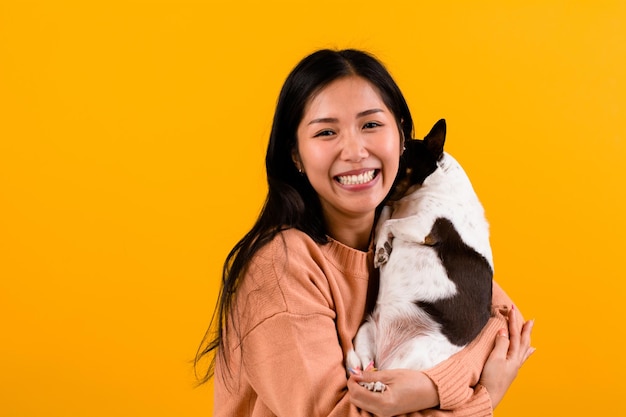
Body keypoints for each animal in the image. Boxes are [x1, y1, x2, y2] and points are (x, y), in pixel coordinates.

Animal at [346, 119, 492, 390]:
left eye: (400, 161)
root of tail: (384, 356)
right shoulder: (398, 211)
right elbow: (385, 217)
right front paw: (382, 249)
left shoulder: (424, 226)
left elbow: (388, 222)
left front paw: (382, 247)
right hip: (365, 331)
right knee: (364, 365)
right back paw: (370, 379)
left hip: (415, 352)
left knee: (389, 373)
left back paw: (378, 383)